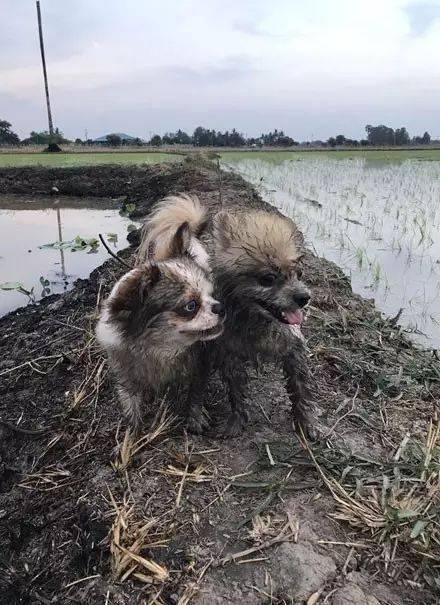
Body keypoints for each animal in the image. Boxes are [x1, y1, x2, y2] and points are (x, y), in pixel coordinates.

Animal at [98, 219, 225, 432]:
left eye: (213, 294)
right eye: (191, 306)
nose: (220, 307)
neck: (159, 349)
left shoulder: (201, 363)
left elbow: (195, 392)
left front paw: (194, 417)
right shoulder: (125, 373)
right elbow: (130, 403)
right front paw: (133, 431)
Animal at [138, 196, 312, 436]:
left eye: (299, 273)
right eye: (267, 278)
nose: (304, 297)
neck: (254, 320)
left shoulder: (293, 349)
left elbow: (300, 389)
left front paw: (307, 423)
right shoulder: (229, 357)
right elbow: (236, 393)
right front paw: (236, 422)